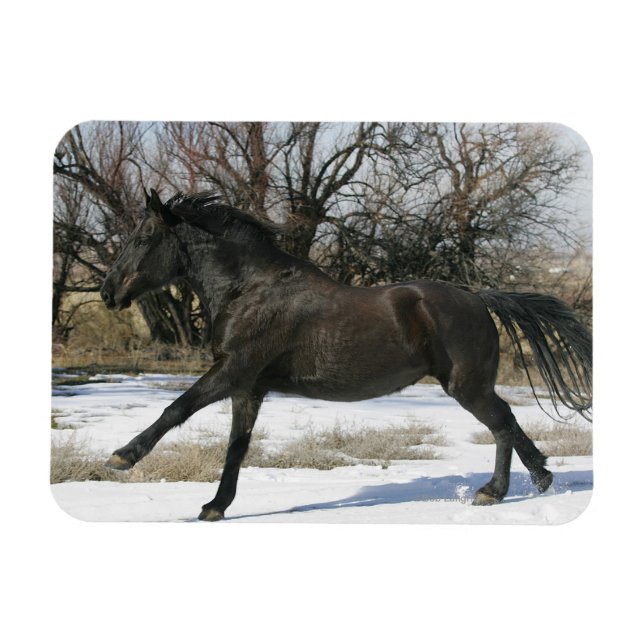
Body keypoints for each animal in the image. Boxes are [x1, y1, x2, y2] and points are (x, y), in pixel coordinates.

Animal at [100, 188, 592, 521]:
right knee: (509, 420)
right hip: (473, 385)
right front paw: (216, 506)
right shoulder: (249, 387)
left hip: (466, 386)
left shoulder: (233, 370)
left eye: (144, 237)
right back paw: (541, 478)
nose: (107, 293)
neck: (249, 289)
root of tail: (479, 298)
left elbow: (177, 408)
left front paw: (122, 457)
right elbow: (237, 447)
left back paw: (493, 492)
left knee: (502, 426)